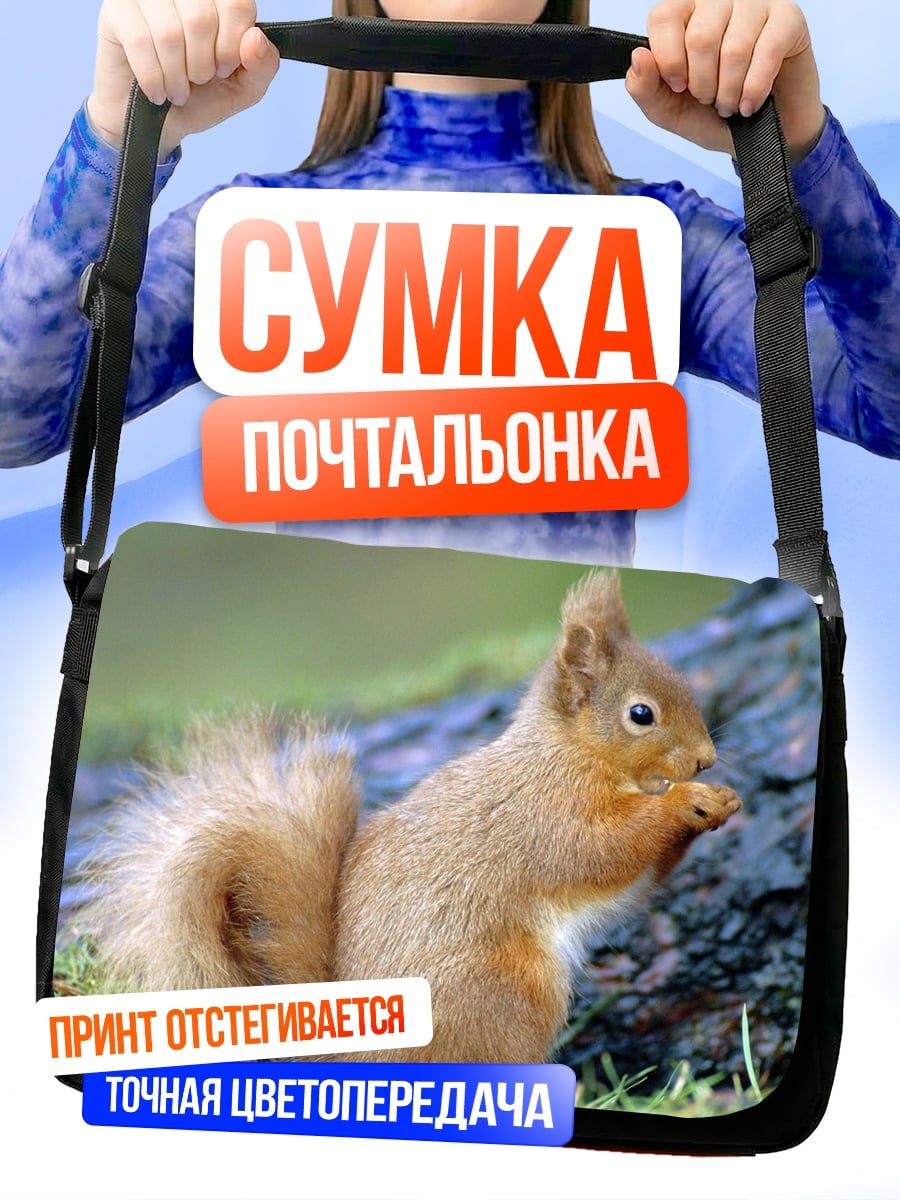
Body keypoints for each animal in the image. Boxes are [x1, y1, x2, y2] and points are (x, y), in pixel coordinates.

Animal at [71, 571, 741, 1063]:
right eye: (641, 714)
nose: (705, 760)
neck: (569, 755)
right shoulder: (547, 816)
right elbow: (606, 850)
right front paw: (686, 802)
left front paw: (721, 801)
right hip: (505, 991)